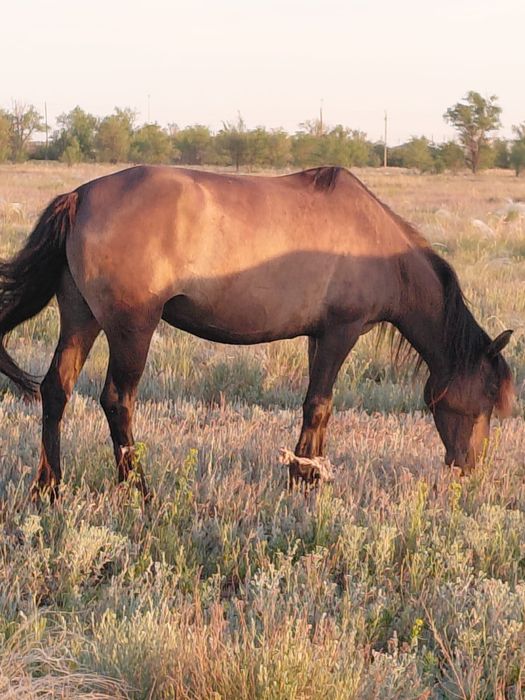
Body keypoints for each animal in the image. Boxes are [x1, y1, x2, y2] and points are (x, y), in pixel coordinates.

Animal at [0, 165, 514, 501]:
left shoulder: (317, 336)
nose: (470, 468)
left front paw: (306, 473)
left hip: (81, 318)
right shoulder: (341, 332)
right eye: (489, 396)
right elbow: (319, 404)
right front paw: (303, 482)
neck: (378, 246)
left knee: (57, 390)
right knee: (116, 401)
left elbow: (318, 409)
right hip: (132, 328)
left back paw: (48, 487)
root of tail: (80, 196)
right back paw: (140, 491)